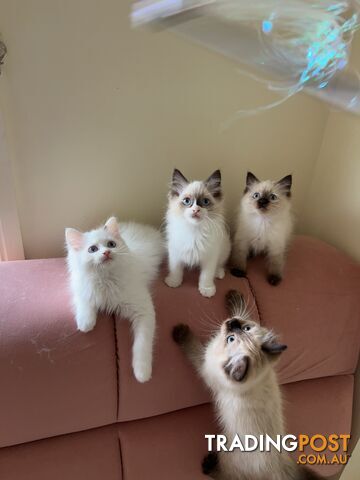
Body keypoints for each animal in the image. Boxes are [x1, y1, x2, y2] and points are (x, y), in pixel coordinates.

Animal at [65, 218, 164, 382]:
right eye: (92, 249)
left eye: (111, 244)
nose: (106, 252)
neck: (107, 279)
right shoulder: (81, 289)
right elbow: (85, 306)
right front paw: (86, 324)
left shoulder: (143, 310)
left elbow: (142, 343)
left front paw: (142, 372)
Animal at [165, 168, 231, 296]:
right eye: (187, 201)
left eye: (205, 202)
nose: (196, 210)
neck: (194, 230)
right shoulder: (175, 253)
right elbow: (175, 270)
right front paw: (173, 282)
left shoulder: (210, 256)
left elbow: (206, 275)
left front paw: (207, 289)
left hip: (225, 248)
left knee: (220, 264)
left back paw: (219, 273)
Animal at [173, 288, 322, 480]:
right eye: (245, 329)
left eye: (230, 339)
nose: (232, 322)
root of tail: (282, 469)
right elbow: (243, 309)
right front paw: (233, 296)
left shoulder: (204, 364)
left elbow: (193, 348)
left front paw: (180, 332)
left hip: (227, 457)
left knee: (222, 475)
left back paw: (208, 465)